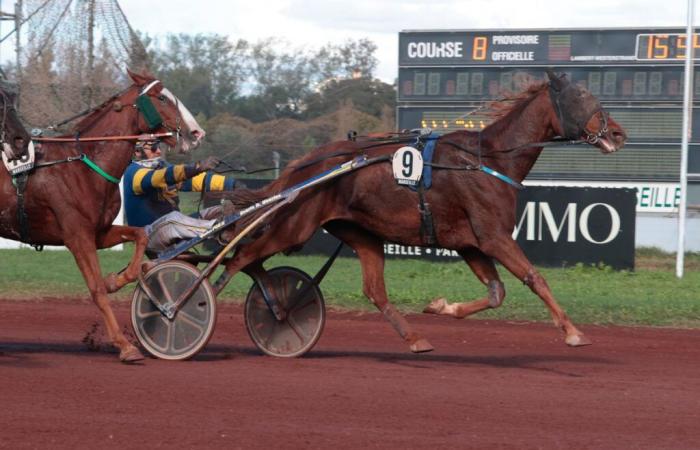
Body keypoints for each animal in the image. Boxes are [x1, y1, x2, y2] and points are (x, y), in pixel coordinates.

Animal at [1, 70, 205, 362]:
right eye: (162, 97)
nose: (196, 132)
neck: (82, 164)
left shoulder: (99, 232)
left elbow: (140, 236)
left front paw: (116, 280)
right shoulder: (77, 236)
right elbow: (96, 288)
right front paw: (125, 345)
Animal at [215, 70, 628, 354]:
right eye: (581, 95)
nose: (618, 133)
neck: (488, 160)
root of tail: (304, 164)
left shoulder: (470, 244)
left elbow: (496, 293)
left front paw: (440, 306)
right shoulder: (493, 237)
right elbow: (535, 278)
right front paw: (573, 332)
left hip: (359, 233)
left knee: (372, 290)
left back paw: (411, 338)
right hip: (294, 226)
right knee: (240, 258)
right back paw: (206, 305)